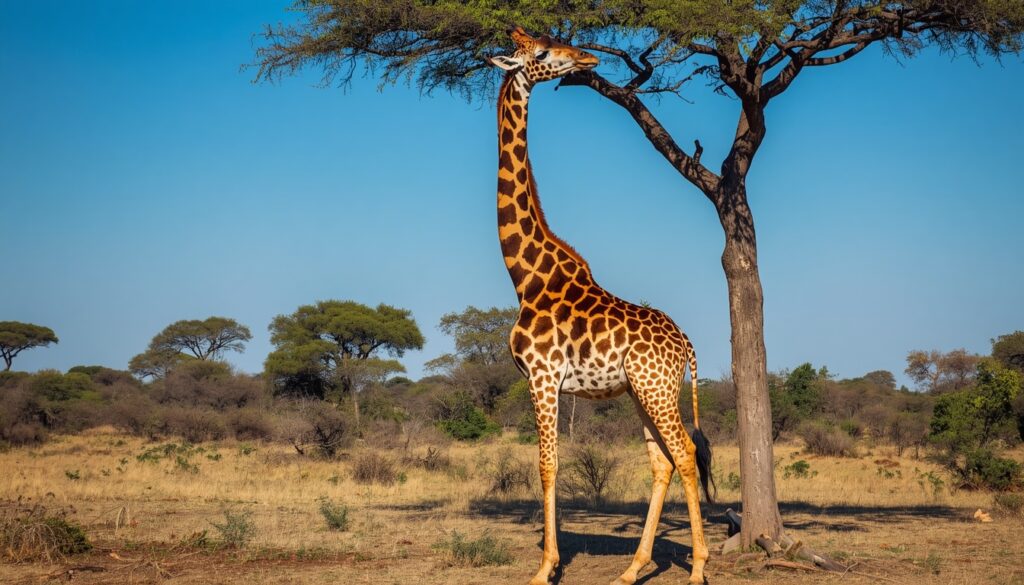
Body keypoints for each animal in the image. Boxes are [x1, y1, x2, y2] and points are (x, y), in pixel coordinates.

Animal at [488, 27, 714, 585]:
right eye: (543, 51)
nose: (587, 57)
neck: (524, 278)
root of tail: (687, 344)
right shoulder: (544, 380)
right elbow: (549, 463)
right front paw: (549, 562)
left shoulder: (543, 376)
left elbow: (547, 463)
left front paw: (545, 567)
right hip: (641, 391)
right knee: (663, 461)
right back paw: (633, 568)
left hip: (655, 389)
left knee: (684, 453)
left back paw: (698, 567)